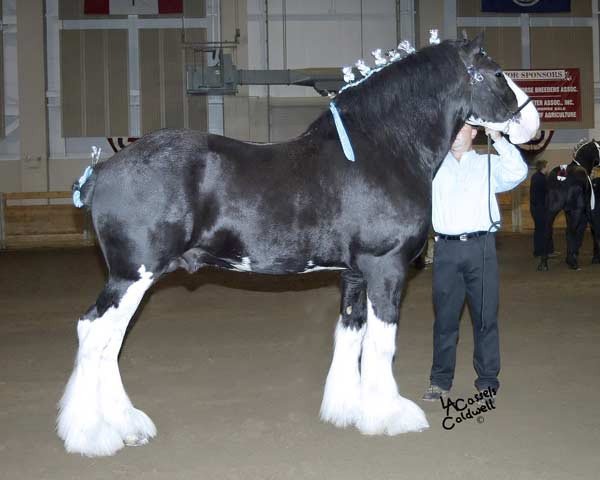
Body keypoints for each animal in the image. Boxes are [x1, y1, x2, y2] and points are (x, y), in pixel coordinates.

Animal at [58, 34, 536, 458]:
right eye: (496, 73)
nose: (532, 122)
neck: (383, 149)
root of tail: (102, 172)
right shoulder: (386, 268)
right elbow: (382, 343)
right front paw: (390, 416)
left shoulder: (355, 274)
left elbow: (351, 335)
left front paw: (348, 411)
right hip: (132, 277)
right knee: (95, 334)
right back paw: (93, 436)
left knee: (108, 340)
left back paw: (125, 427)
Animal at [540, 139, 600, 270]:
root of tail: (563, 174)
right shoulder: (586, 210)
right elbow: (592, 230)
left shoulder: (567, 211)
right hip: (576, 210)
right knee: (571, 232)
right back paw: (573, 263)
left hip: (551, 209)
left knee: (547, 232)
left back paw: (543, 264)